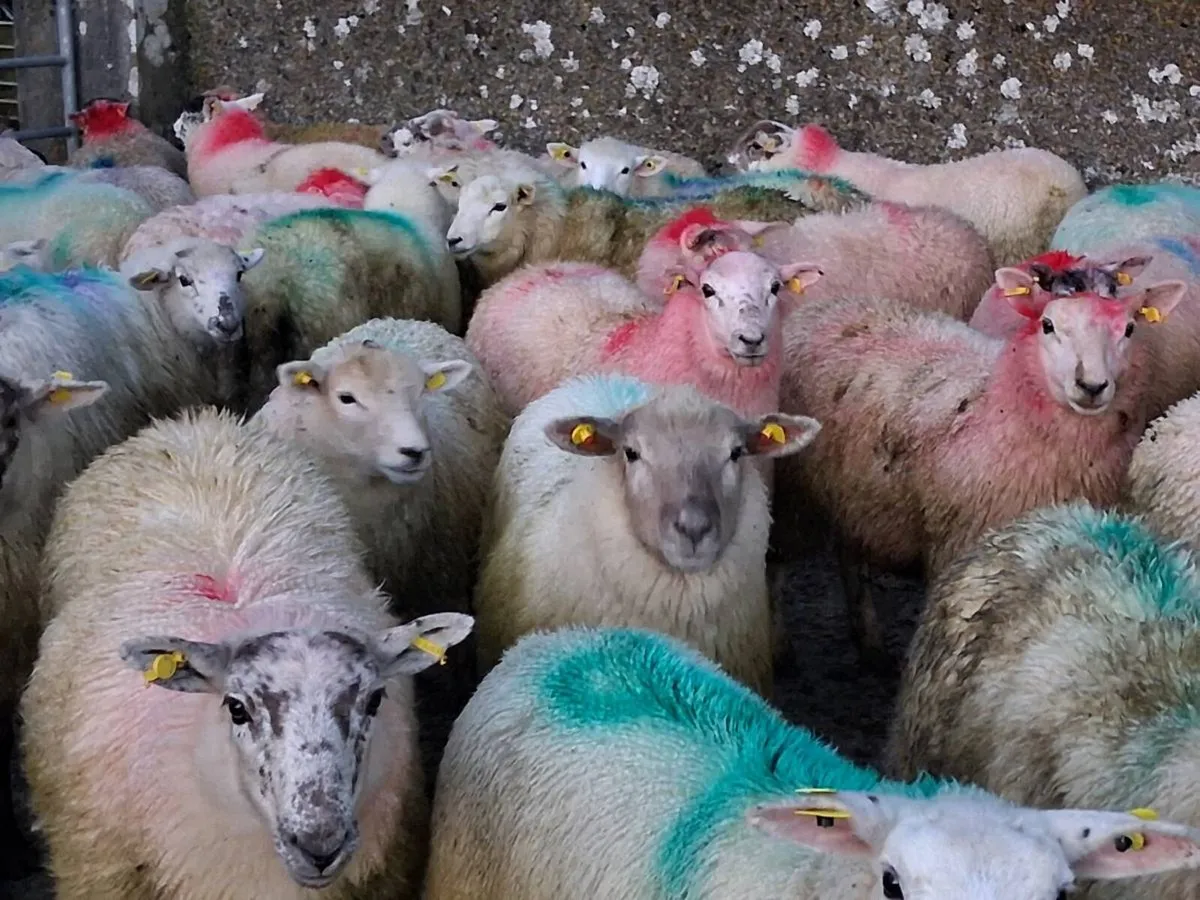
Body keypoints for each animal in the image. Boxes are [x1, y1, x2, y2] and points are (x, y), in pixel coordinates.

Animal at [777, 281, 1185, 669]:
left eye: (1129, 329)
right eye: (1048, 325)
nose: (1091, 386)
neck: (1001, 403)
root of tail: (823, 307)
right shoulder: (960, 544)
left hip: (854, 493)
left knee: (849, 555)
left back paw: (870, 643)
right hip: (794, 491)